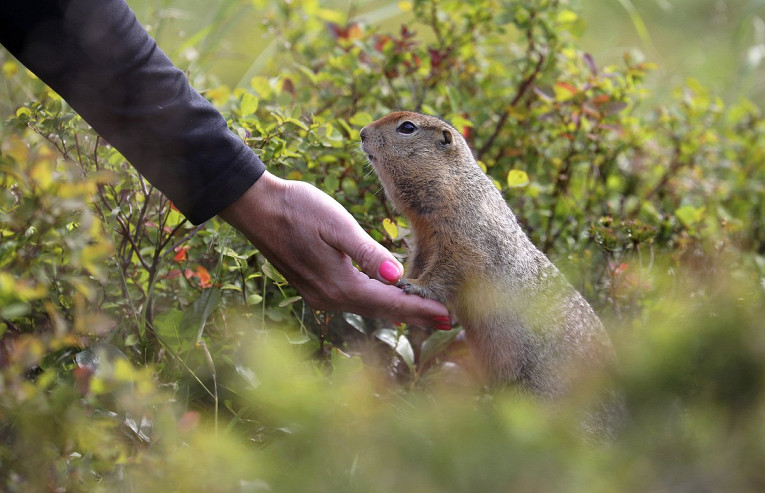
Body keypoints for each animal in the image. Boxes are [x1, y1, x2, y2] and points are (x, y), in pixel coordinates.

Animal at [362, 111, 616, 400]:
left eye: (407, 127)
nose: (362, 133)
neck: (457, 187)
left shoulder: (464, 242)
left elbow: (445, 271)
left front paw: (414, 285)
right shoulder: (423, 242)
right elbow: (418, 262)